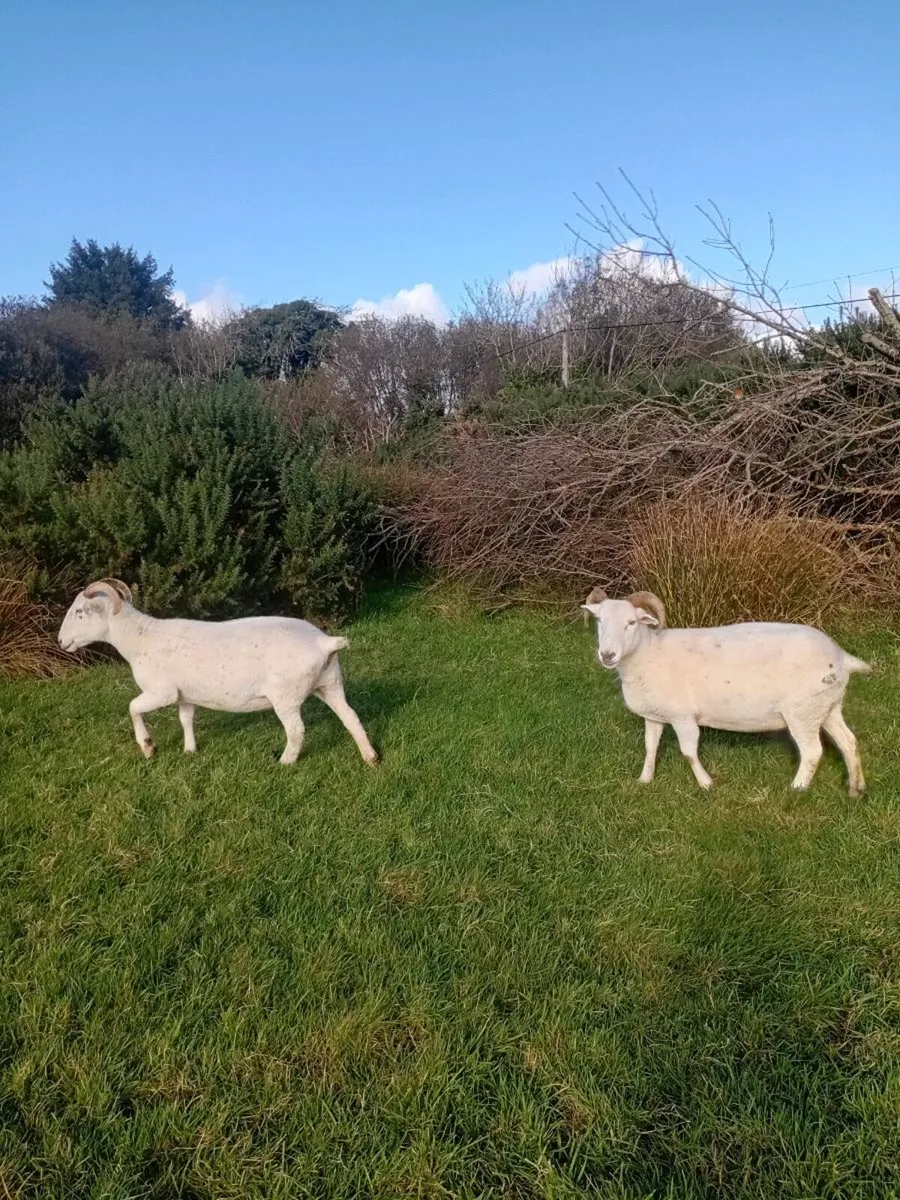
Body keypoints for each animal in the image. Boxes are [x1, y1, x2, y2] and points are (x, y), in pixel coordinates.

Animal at [57, 579, 379, 767]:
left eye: (80, 613)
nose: (61, 642)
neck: (140, 638)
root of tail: (324, 642)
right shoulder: (185, 694)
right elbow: (186, 719)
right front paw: (189, 751)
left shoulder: (162, 692)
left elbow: (133, 707)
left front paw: (148, 747)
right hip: (330, 683)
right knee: (351, 718)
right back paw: (371, 758)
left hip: (286, 696)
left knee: (297, 731)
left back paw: (284, 762)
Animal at [581, 587, 870, 795]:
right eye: (599, 621)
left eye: (631, 622)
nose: (607, 655)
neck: (649, 653)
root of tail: (841, 657)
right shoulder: (654, 716)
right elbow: (650, 747)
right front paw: (645, 779)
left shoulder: (683, 717)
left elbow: (688, 752)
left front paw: (706, 784)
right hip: (827, 707)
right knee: (849, 741)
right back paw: (855, 788)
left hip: (803, 712)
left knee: (812, 752)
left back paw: (796, 789)